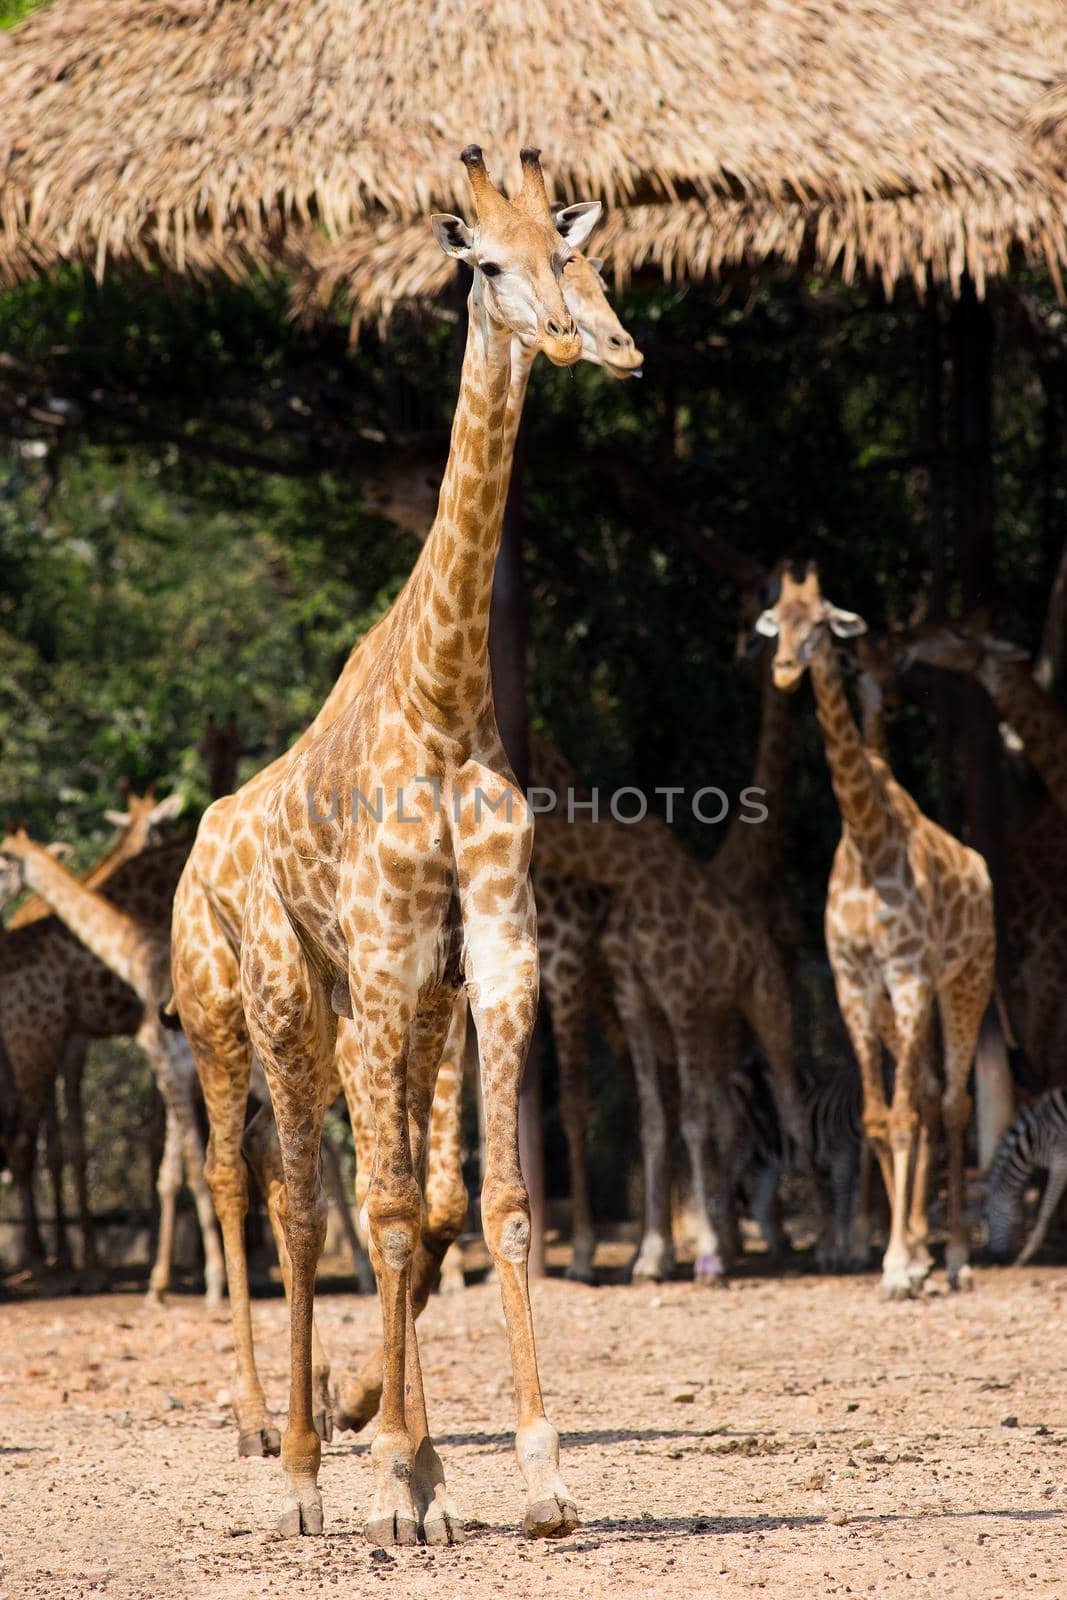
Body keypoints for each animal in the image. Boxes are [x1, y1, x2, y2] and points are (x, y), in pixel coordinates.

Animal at [0, 825, 225, 1299]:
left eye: (4, 858)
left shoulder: (160, 1066)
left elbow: (183, 1165)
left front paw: (203, 1279)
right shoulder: (166, 1070)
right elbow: (172, 1168)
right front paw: (164, 1280)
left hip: (33, 1045)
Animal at [167, 172, 633, 1452]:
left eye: (571, 259)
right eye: (485, 264)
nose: (591, 341)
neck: (441, 701)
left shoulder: (482, 955)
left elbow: (475, 1198)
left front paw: (512, 1451)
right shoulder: (384, 962)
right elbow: (383, 1202)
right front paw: (378, 1427)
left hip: (350, 1012)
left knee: (331, 1185)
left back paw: (348, 1411)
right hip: (232, 1010)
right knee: (245, 1178)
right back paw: (262, 1416)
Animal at [755, 569, 998, 1292]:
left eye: (820, 624)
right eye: (776, 622)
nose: (784, 670)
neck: (867, 840)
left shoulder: (908, 975)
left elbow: (902, 1113)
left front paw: (897, 1264)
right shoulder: (854, 983)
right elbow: (874, 1113)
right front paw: (897, 1256)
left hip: (966, 979)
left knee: (950, 1101)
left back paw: (954, 1257)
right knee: (925, 1093)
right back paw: (922, 1249)